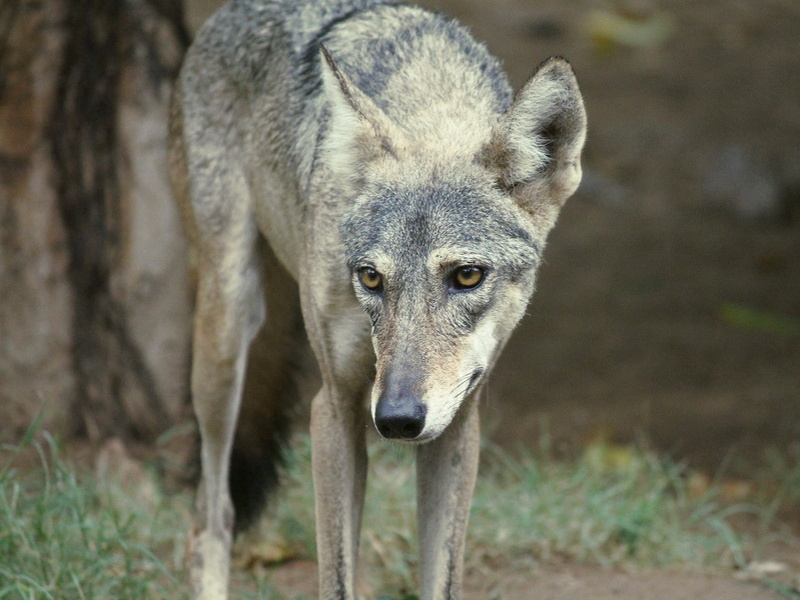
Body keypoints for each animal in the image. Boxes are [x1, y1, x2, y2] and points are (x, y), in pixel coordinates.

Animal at [169, 0, 584, 596]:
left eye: (467, 276)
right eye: (369, 278)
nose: (397, 420)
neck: (432, 103)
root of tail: (227, 13)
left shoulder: (457, 424)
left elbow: (441, 579)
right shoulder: (335, 408)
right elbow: (337, 578)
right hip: (226, 330)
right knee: (211, 513)